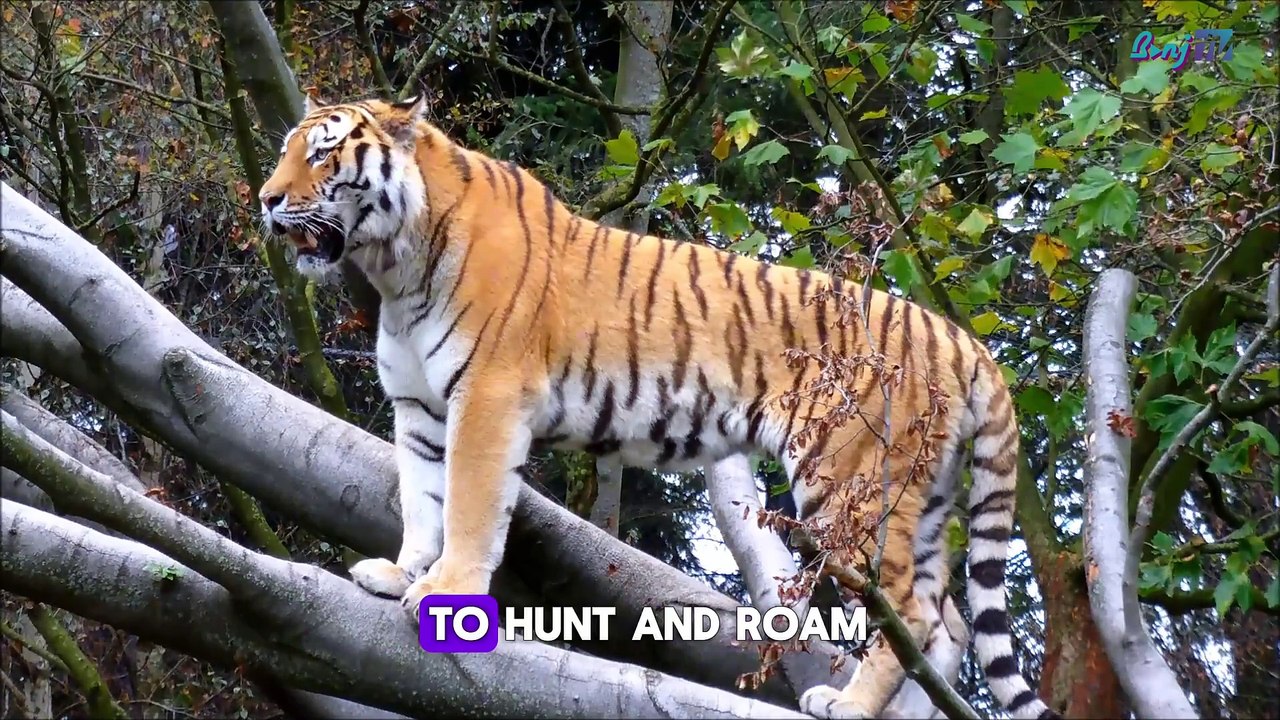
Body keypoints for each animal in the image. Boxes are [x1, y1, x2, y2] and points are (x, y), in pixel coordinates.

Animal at [256, 94, 1058, 720]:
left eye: (323, 155)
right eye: (288, 149)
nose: (266, 198)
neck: (395, 266)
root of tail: (960, 338)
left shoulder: (486, 398)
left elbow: (468, 506)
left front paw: (445, 594)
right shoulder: (420, 408)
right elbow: (422, 500)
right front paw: (401, 574)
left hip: (850, 484)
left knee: (914, 613)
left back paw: (850, 704)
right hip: (916, 499)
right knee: (948, 623)